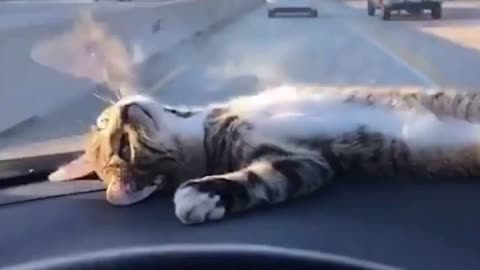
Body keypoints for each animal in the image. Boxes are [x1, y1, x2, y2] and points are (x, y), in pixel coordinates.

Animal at [47, 86, 480, 224]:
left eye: (108, 128)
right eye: (124, 149)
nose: (124, 111)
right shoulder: (306, 161)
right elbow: (262, 181)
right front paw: (204, 195)